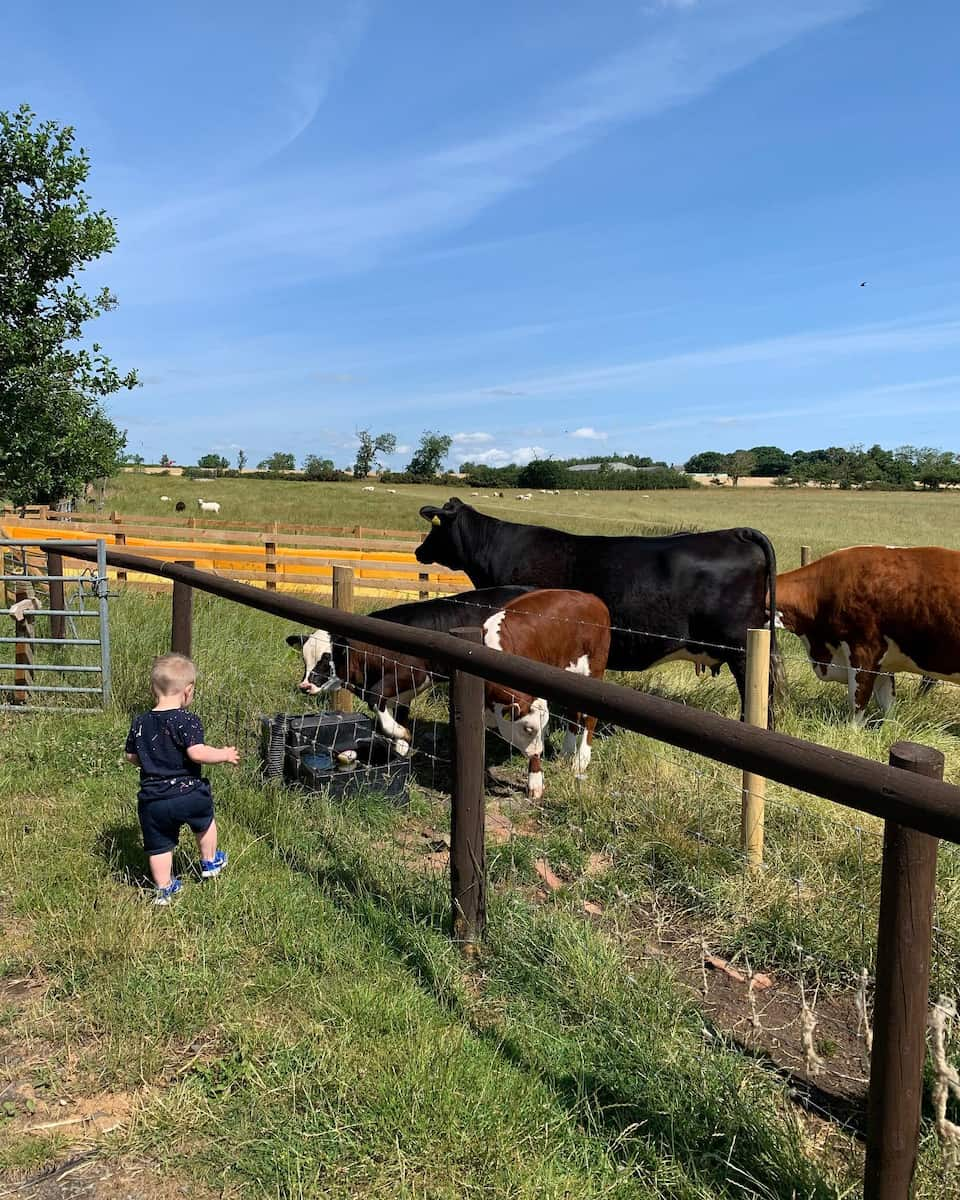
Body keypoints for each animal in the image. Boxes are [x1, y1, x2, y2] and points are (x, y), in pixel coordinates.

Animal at [289, 588, 612, 796]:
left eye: (327, 659)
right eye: (305, 660)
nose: (305, 685)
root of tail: (592, 598)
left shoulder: (407, 676)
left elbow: (377, 701)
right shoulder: (407, 693)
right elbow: (394, 716)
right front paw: (400, 746)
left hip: (592, 671)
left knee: (589, 717)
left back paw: (580, 759)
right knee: (573, 712)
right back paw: (568, 752)